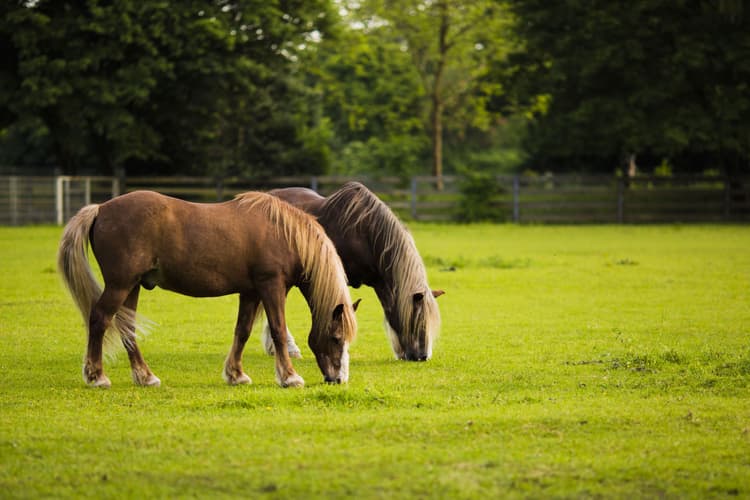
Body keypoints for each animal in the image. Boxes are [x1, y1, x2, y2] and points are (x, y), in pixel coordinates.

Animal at [58, 189, 358, 388]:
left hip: (132, 287)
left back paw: (145, 376)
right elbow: (278, 330)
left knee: (127, 328)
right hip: (119, 286)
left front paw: (236, 374)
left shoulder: (250, 292)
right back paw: (97, 376)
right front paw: (290, 376)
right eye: (336, 338)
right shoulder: (271, 286)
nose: (338, 379)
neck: (284, 233)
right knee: (99, 319)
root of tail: (100, 209)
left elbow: (243, 331)